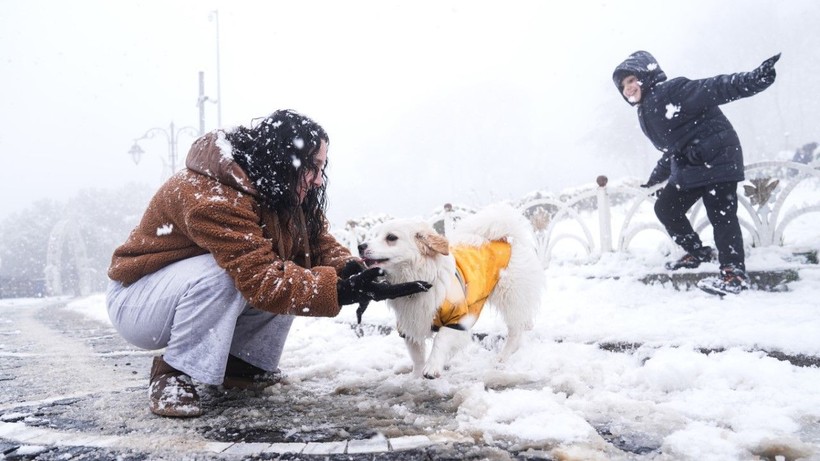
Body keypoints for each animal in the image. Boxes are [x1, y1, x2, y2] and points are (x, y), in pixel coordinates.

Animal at [360, 204, 544, 378]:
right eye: (375, 235)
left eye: (391, 238)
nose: (360, 246)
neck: (416, 279)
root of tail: (506, 240)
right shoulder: (410, 324)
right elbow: (416, 355)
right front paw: (416, 377)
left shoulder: (458, 319)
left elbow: (440, 338)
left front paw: (432, 367)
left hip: (511, 298)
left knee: (515, 331)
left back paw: (501, 358)